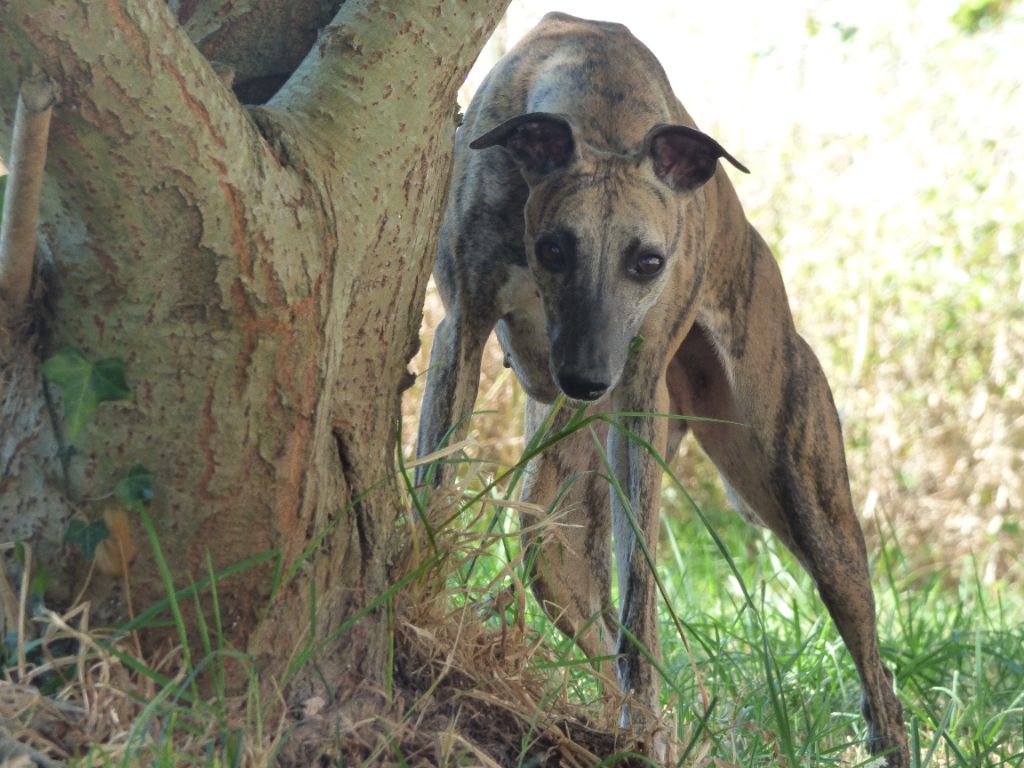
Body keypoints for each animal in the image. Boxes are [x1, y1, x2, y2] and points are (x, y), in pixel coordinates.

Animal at [411, 13, 909, 768]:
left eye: (648, 261)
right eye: (553, 249)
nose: (586, 383)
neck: (599, 102)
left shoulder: (640, 397)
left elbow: (641, 597)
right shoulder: (462, 330)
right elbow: (435, 491)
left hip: (801, 496)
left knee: (876, 669)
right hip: (553, 528)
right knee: (587, 617)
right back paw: (642, 728)